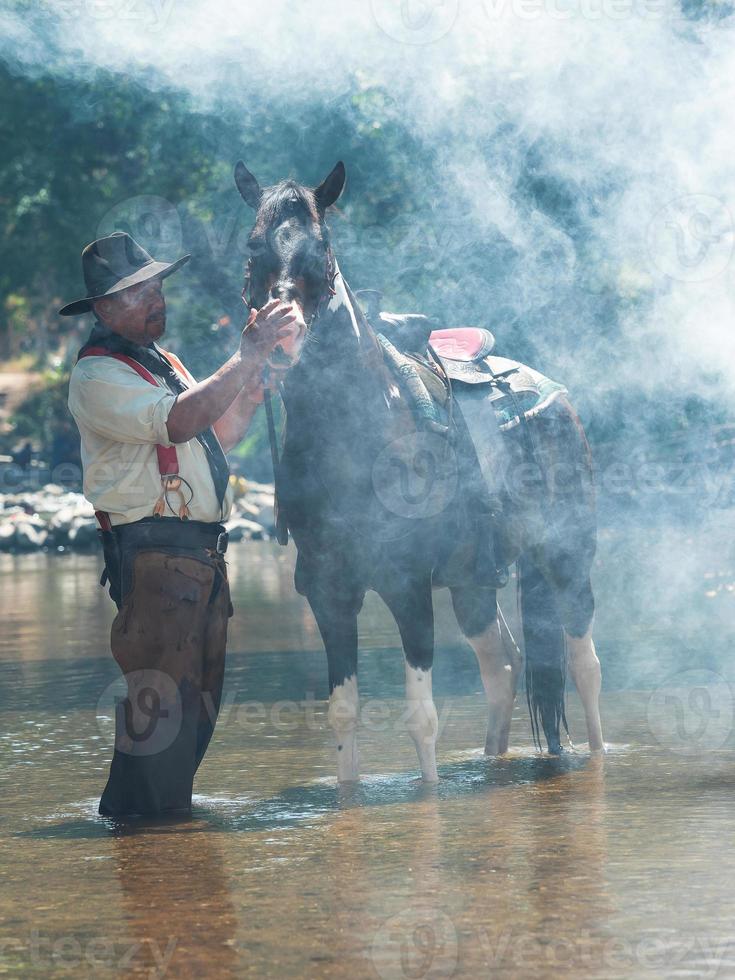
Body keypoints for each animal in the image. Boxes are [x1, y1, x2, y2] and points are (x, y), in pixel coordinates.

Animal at [234, 163, 604, 788]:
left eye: (321, 247)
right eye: (253, 246)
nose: (281, 335)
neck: (357, 428)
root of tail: (554, 397)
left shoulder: (405, 584)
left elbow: (421, 719)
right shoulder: (328, 589)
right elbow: (343, 715)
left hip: (566, 558)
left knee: (584, 664)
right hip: (473, 582)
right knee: (503, 667)